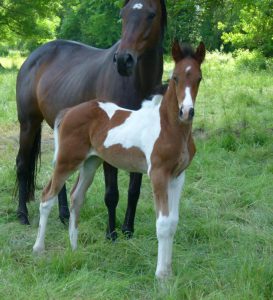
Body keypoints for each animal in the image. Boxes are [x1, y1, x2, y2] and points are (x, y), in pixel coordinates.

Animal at [33, 41, 204, 278]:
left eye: (199, 78)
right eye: (175, 77)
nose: (186, 112)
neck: (169, 127)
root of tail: (67, 112)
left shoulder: (178, 176)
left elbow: (172, 222)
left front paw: (168, 271)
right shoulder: (158, 174)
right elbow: (162, 223)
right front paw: (161, 276)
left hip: (90, 162)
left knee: (77, 197)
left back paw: (74, 248)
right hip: (67, 160)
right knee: (47, 196)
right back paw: (38, 248)